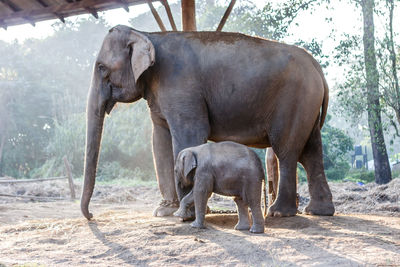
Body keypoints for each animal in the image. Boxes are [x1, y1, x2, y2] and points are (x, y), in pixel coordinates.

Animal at [80, 25, 334, 221]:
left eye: (101, 67)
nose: (91, 216)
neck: (148, 35)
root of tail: (318, 69)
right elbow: (159, 141)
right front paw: (164, 211)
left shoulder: (182, 88)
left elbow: (189, 135)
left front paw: (187, 214)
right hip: (307, 104)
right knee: (311, 152)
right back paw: (318, 211)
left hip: (294, 100)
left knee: (287, 151)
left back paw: (279, 213)